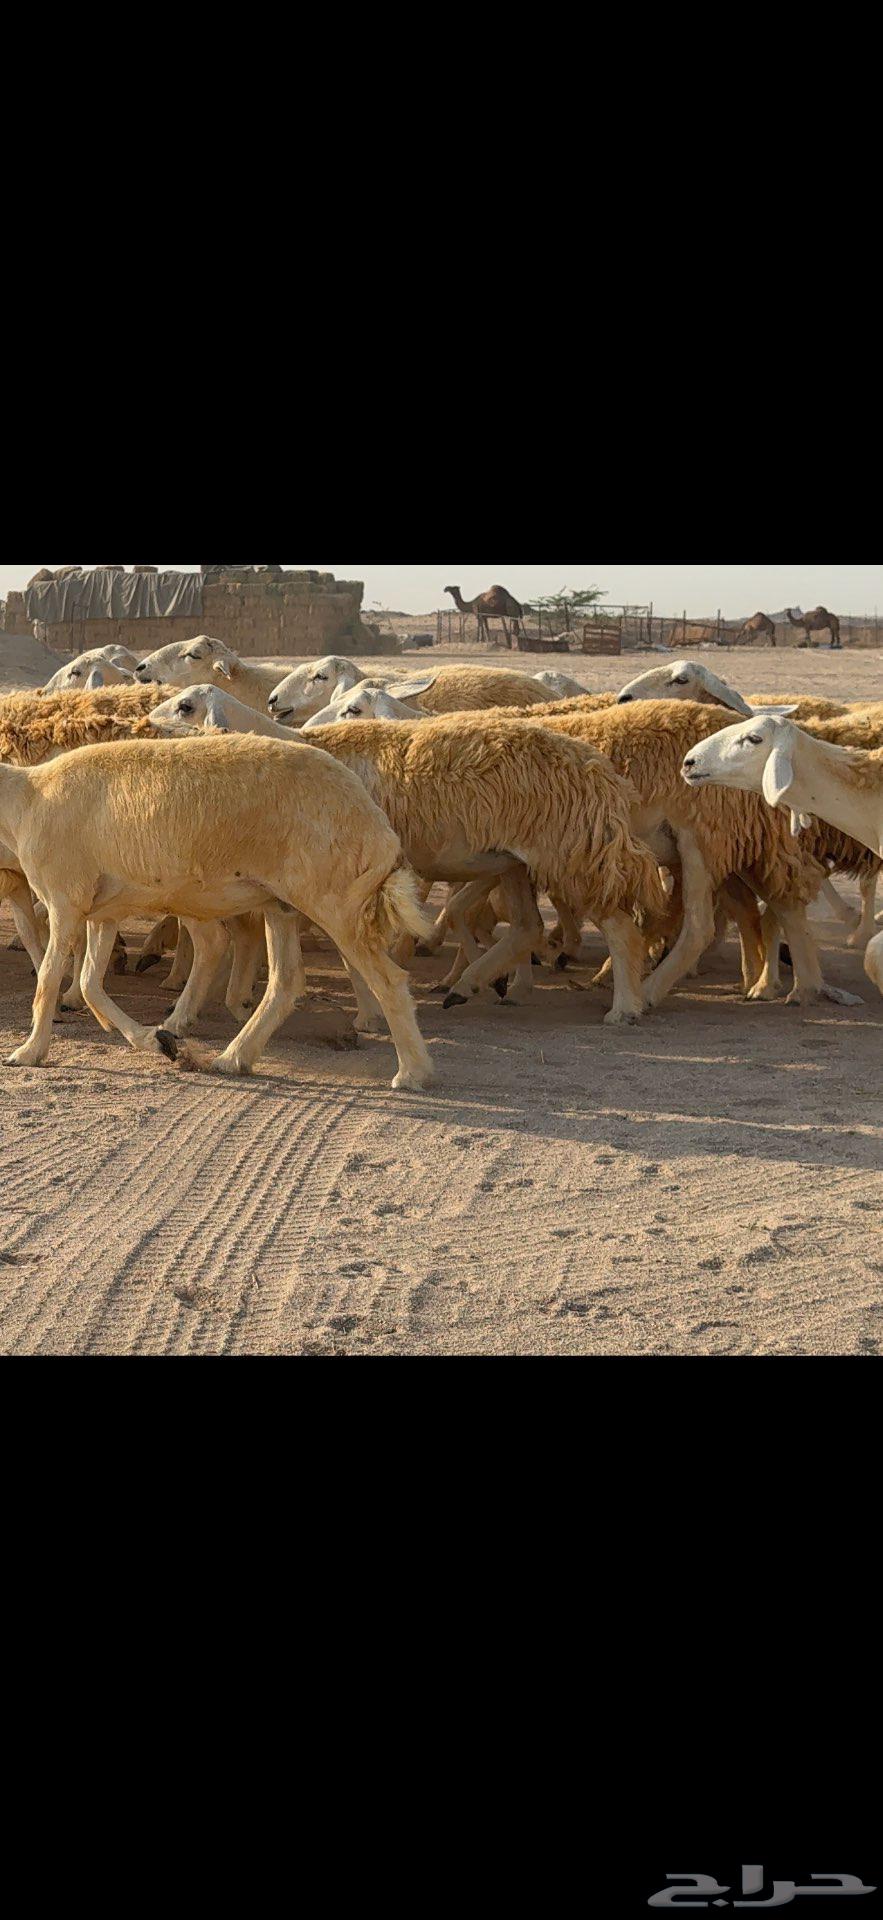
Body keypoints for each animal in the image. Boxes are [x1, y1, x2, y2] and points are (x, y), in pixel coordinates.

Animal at [0, 734, 436, 1089]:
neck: (27, 800)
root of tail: (376, 822)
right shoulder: (100, 911)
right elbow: (90, 983)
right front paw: (158, 1042)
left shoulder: (64, 900)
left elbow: (49, 977)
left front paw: (29, 1052)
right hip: (281, 904)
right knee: (285, 981)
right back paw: (234, 1058)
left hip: (335, 898)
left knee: (388, 980)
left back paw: (412, 1073)